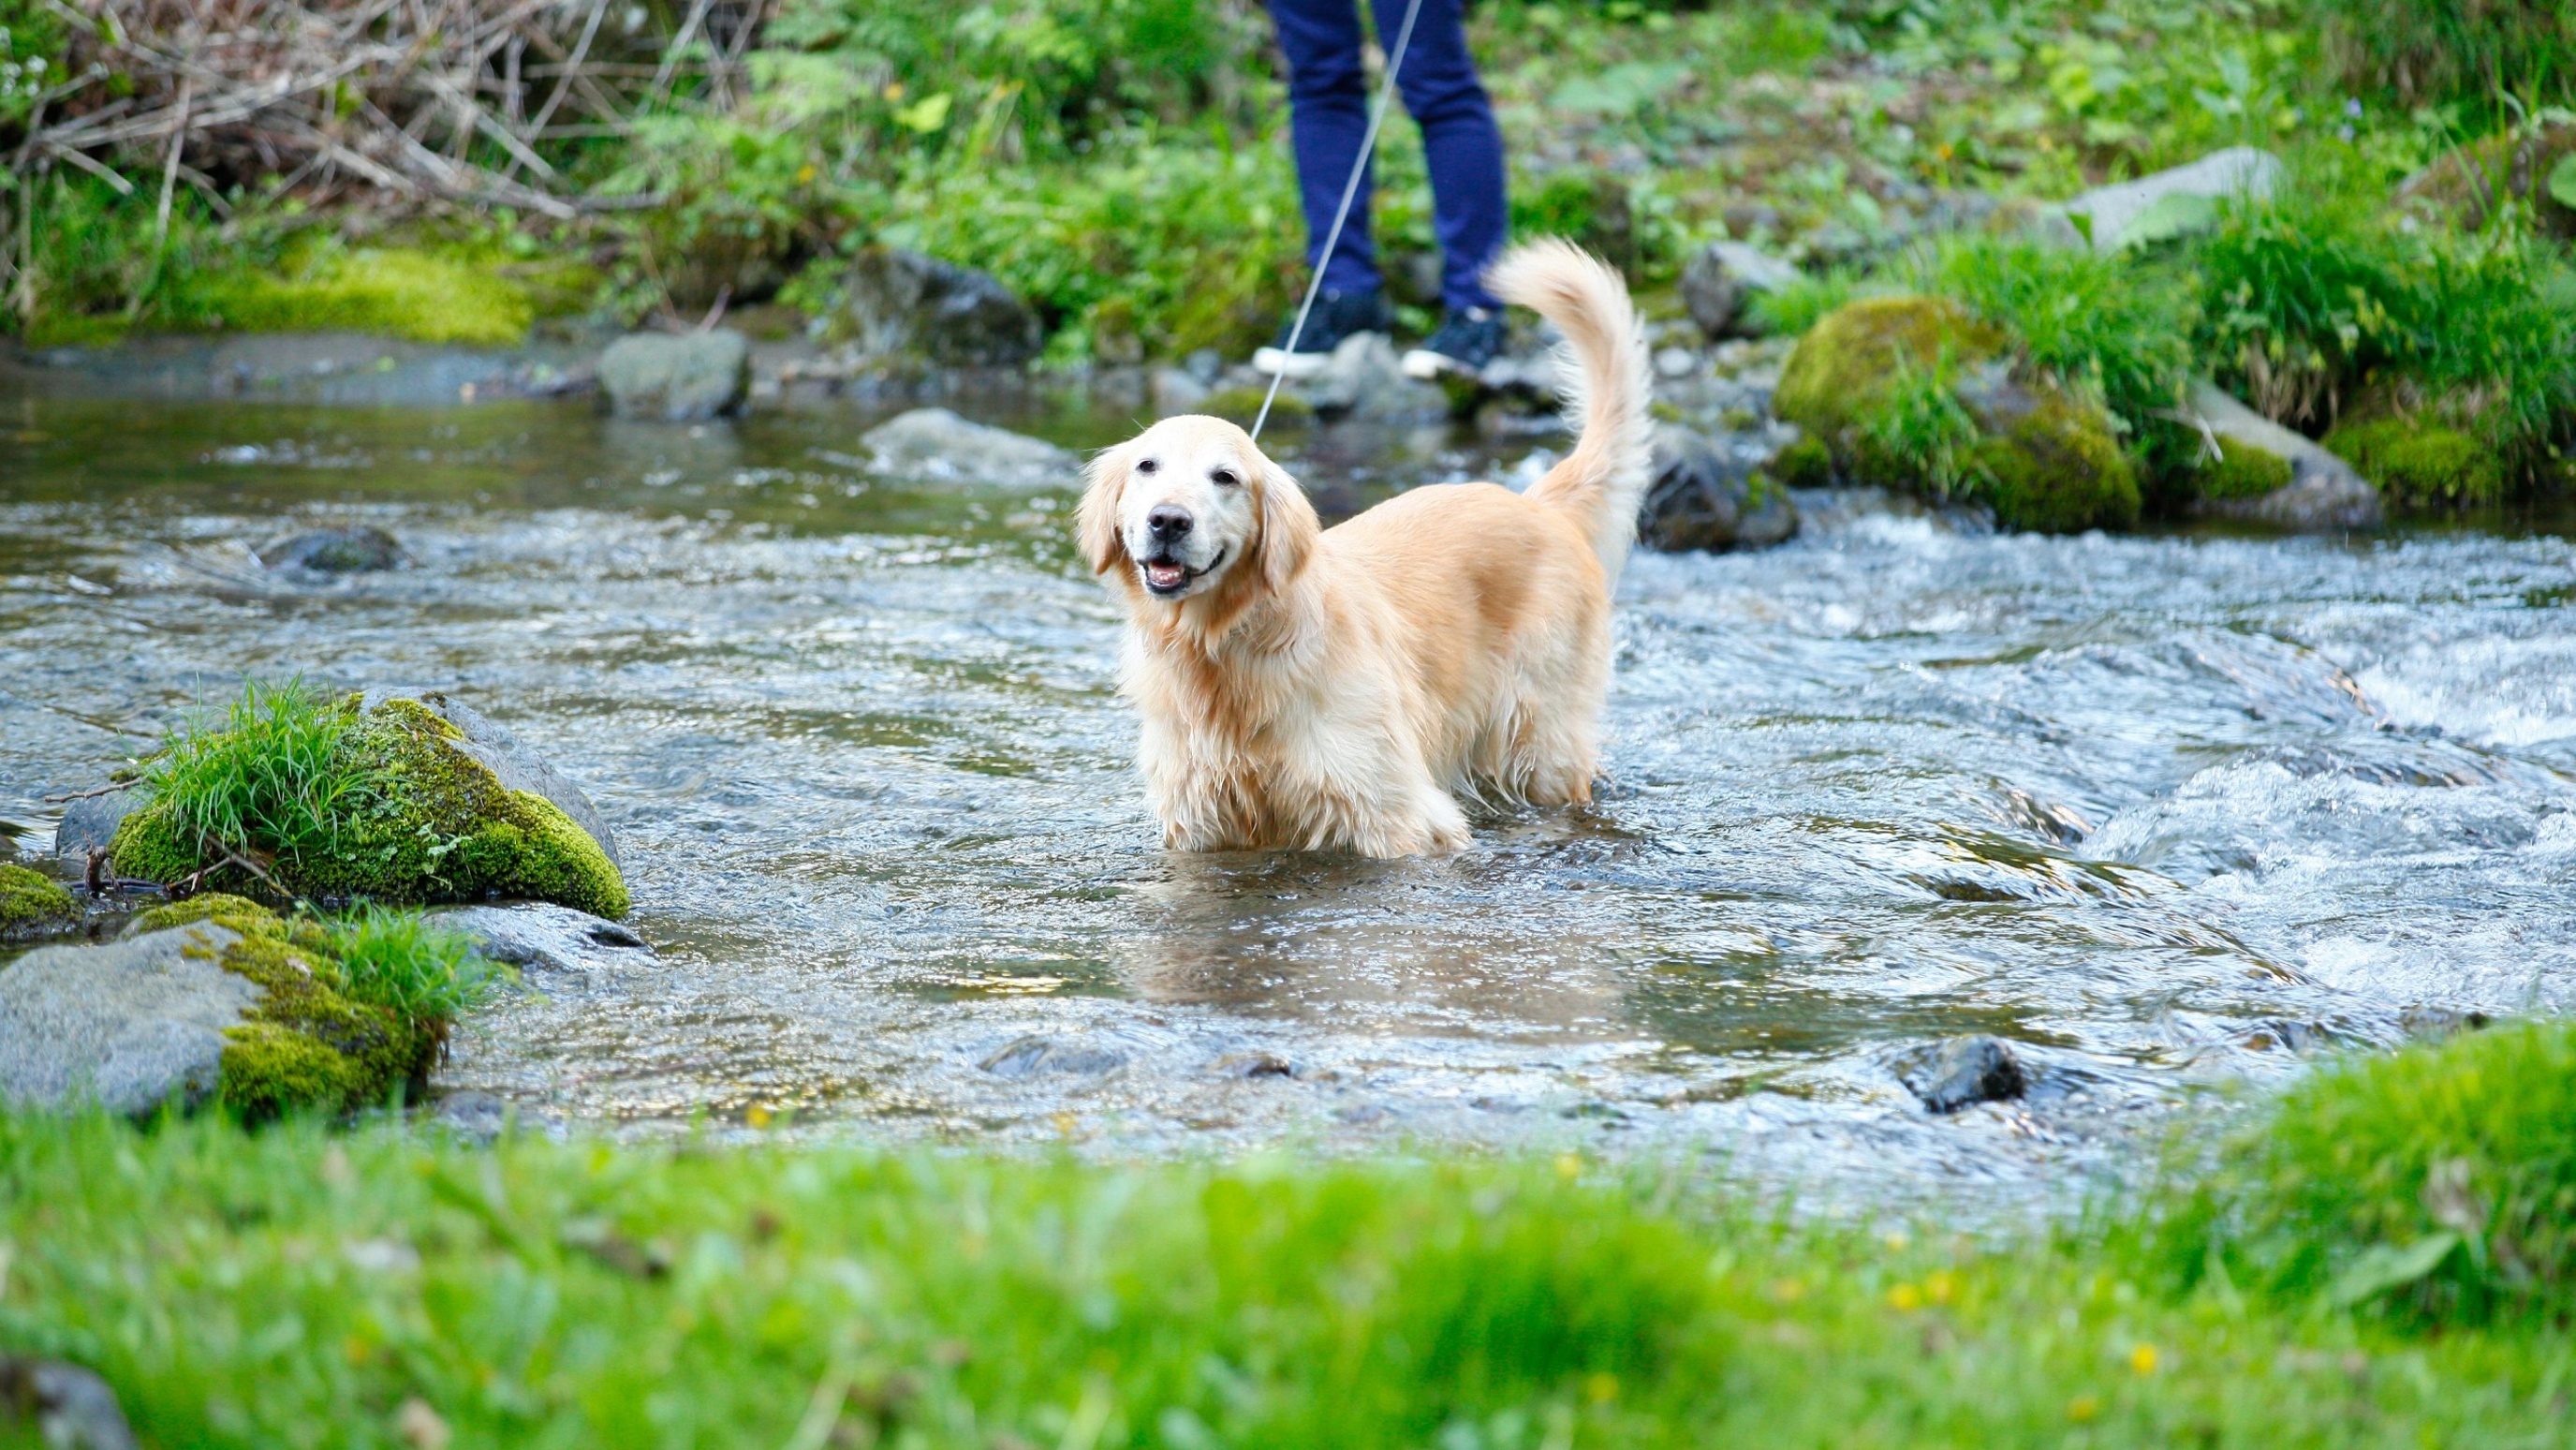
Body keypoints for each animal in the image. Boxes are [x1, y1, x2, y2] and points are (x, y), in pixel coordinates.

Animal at [1071, 232, 1648, 854]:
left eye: (1225, 477)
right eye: (1146, 466)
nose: (1168, 521)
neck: (1226, 651)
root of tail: (1541, 504)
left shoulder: (1397, 815)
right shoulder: (1197, 821)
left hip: (1538, 739)